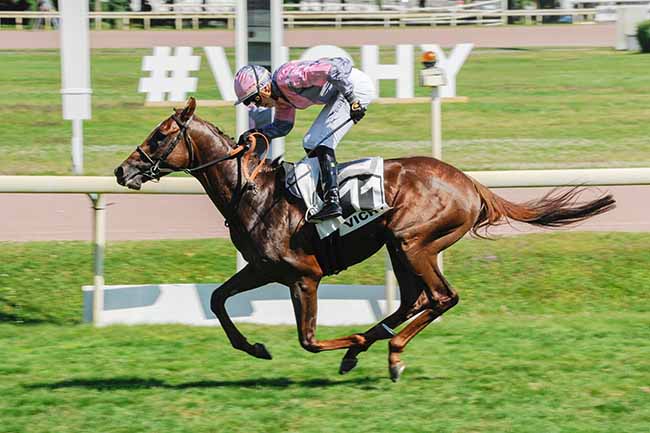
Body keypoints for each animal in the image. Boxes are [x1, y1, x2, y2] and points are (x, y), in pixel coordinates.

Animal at [114, 97, 616, 378]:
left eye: (159, 136)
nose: (122, 171)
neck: (253, 192)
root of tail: (471, 184)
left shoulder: (304, 276)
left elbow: (308, 339)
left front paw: (349, 341)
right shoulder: (262, 269)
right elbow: (218, 299)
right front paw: (254, 347)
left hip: (413, 241)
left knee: (441, 297)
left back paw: (388, 351)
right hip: (399, 246)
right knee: (415, 300)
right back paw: (371, 347)